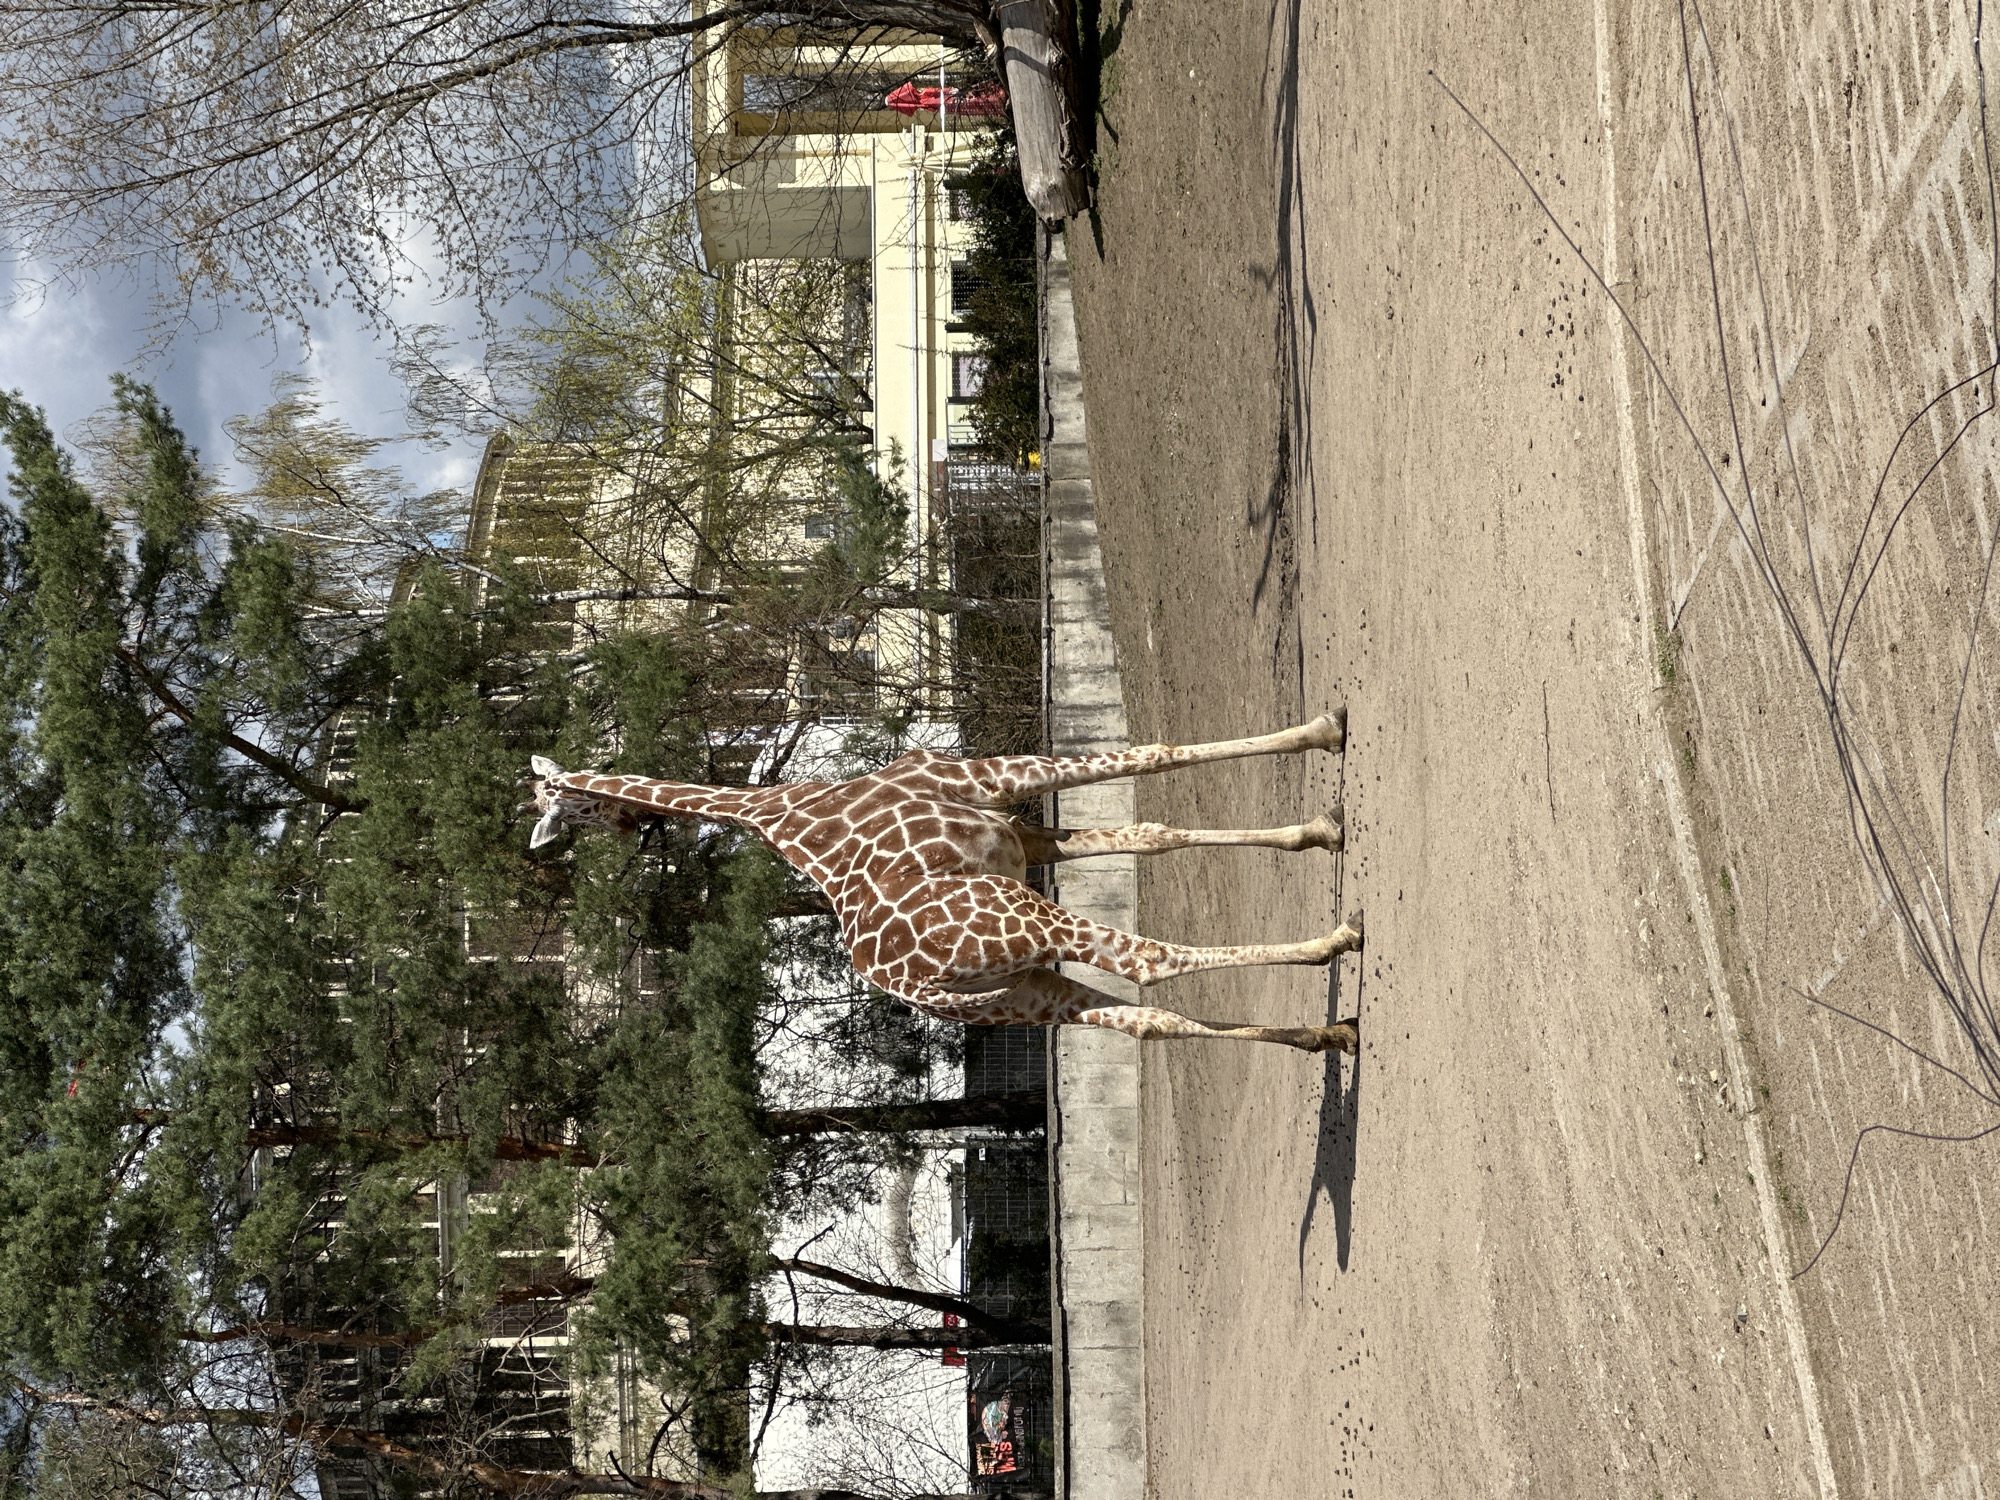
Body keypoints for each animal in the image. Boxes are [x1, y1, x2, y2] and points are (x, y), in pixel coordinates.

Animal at [523, 711, 1364, 1052]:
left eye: (563, 804)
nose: (618, 827)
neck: (781, 810)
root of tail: (921, 988)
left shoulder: (1023, 836)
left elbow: (1149, 832)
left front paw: (1318, 827)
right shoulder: (993, 781)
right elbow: (1150, 757)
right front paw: (1325, 733)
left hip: (1023, 994)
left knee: (1147, 1021)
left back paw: (1325, 1036)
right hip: (1026, 925)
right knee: (1150, 963)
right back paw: (1336, 949)